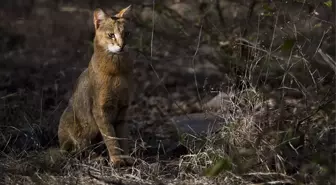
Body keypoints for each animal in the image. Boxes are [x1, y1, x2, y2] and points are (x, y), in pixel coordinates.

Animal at [58, 5, 135, 166]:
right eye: (111, 35)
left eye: (128, 34)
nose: (122, 45)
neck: (117, 71)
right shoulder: (101, 110)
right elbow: (111, 137)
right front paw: (117, 159)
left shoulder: (123, 109)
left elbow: (122, 137)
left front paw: (126, 157)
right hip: (71, 121)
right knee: (79, 149)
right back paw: (96, 157)